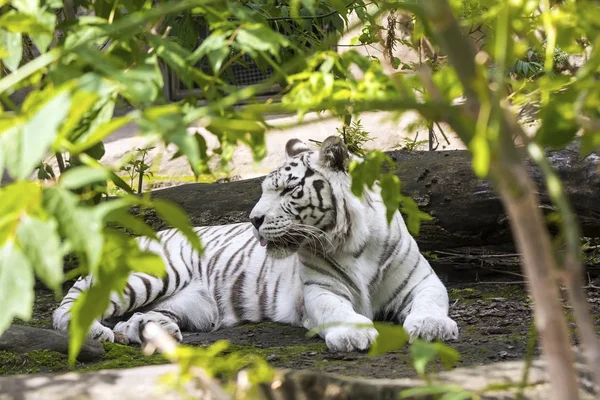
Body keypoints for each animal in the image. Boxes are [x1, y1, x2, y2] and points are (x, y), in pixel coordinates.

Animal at [55, 136, 460, 352]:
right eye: (264, 189)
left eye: (289, 189)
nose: (253, 219)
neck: (353, 241)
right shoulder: (319, 290)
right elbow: (337, 310)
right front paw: (353, 334)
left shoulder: (422, 280)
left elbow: (431, 300)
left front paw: (432, 327)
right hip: (148, 276)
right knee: (67, 310)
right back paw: (98, 332)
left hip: (192, 305)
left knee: (137, 317)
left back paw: (151, 333)